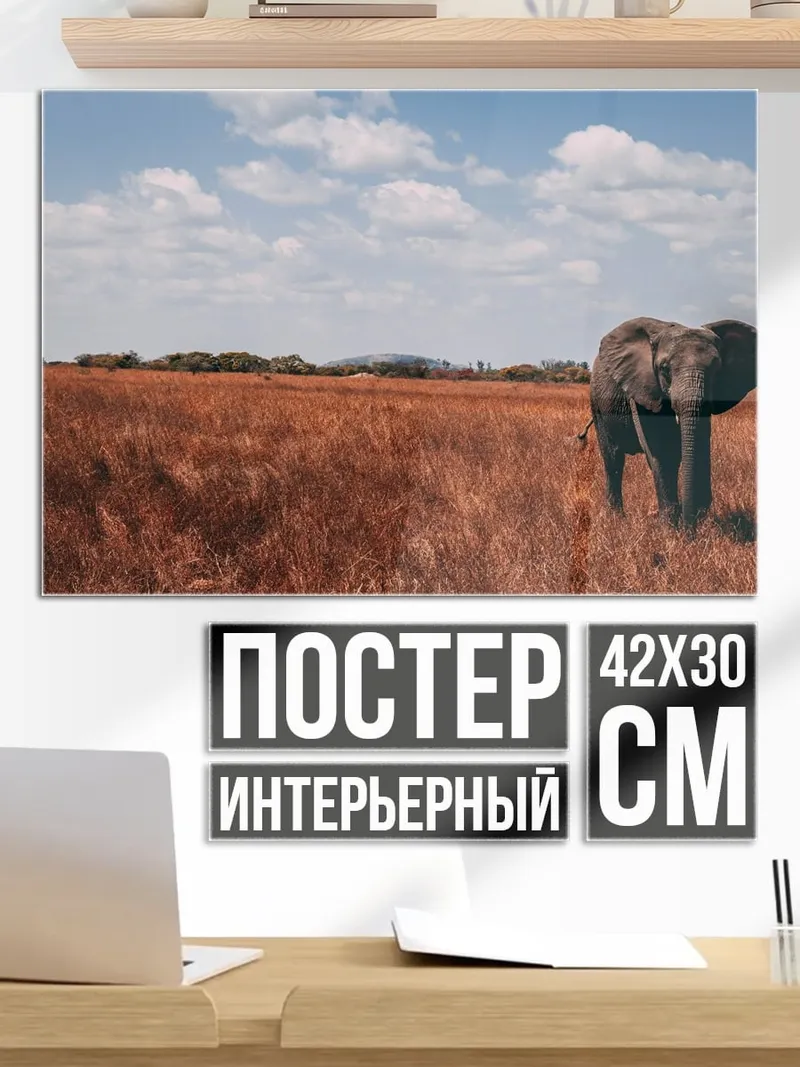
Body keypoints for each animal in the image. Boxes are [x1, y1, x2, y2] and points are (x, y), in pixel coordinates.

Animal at [581, 316, 756, 530]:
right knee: (613, 458)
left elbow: (700, 446)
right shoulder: (642, 386)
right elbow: (661, 452)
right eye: (664, 369)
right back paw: (616, 519)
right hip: (597, 403)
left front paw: (699, 520)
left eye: (717, 369)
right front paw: (670, 527)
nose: (691, 529)